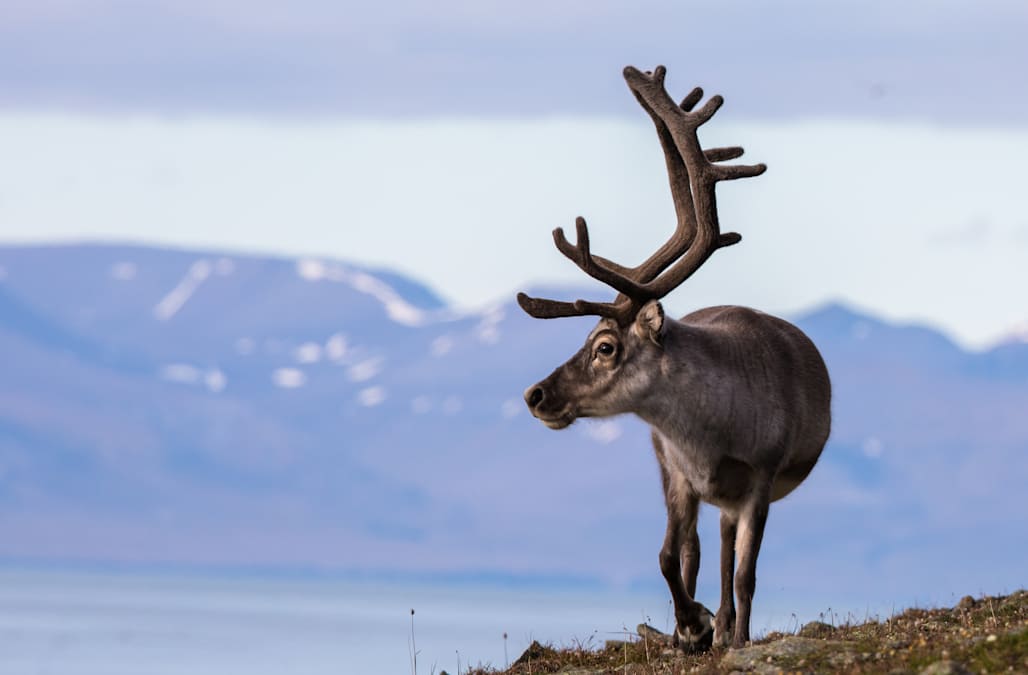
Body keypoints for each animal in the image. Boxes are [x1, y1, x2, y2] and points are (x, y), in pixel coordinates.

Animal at [517, 66, 831, 651]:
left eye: (605, 346)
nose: (536, 394)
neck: (714, 431)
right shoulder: (678, 473)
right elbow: (668, 556)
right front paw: (691, 624)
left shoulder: (760, 478)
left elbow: (746, 573)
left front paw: (730, 635)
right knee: (698, 551)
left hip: (737, 496)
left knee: (730, 555)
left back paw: (729, 627)